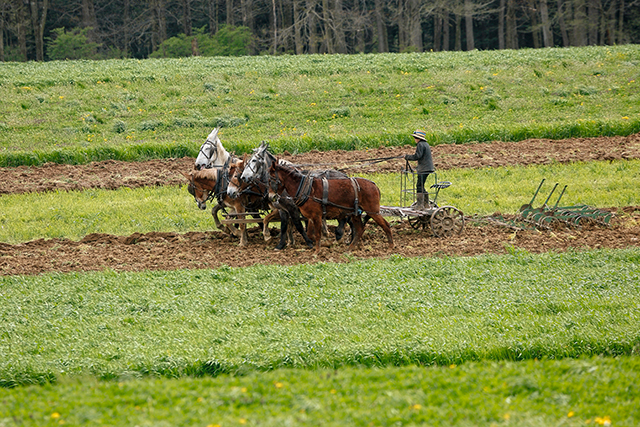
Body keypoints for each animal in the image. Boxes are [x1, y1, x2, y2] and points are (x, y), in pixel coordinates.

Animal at [266, 160, 396, 254]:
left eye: (271, 179)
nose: (271, 197)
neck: (305, 188)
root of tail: (374, 185)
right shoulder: (310, 216)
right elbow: (310, 233)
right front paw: (321, 244)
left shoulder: (316, 215)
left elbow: (317, 233)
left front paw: (317, 251)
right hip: (355, 213)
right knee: (359, 229)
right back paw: (350, 249)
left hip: (372, 211)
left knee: (385, 225)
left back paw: (390, 247)